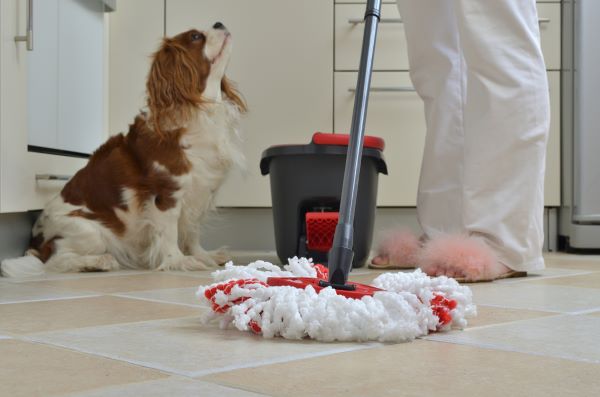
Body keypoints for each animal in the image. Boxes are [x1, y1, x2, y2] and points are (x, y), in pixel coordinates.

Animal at [1, 22, 246, 276]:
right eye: (196, 36)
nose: (219, 23)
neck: (201, 109)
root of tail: (36, 244)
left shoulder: (200, 193)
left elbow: (192, 231)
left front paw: (202, 255)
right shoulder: (166, 194)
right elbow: (169, 234)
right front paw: (179, 261)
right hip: (89, 232)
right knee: (55, 262)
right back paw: (99, 262)